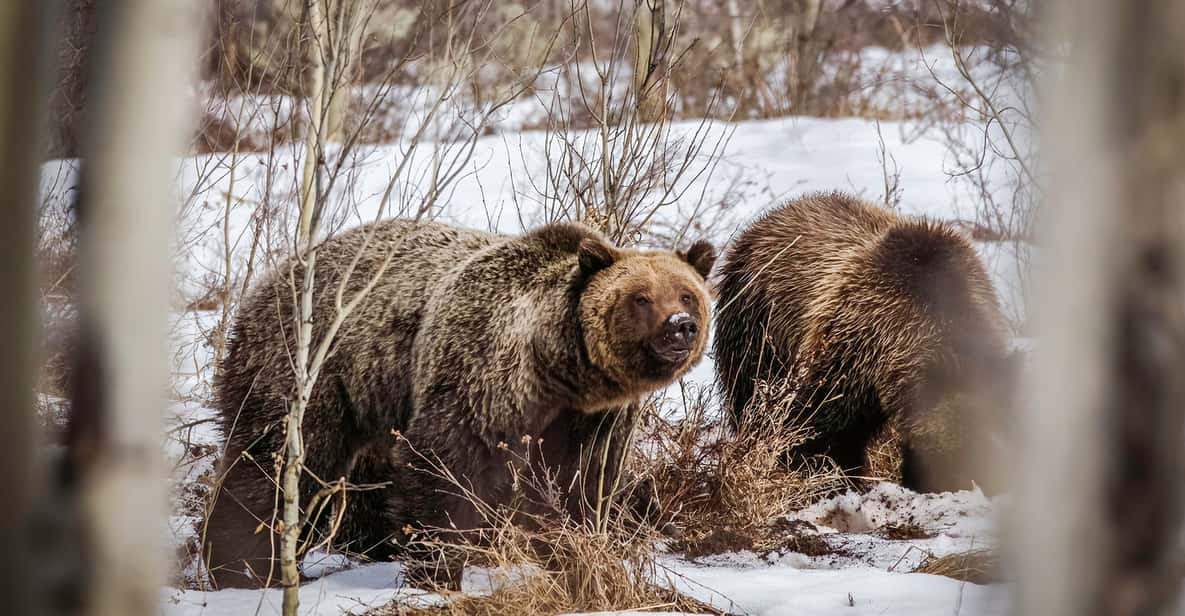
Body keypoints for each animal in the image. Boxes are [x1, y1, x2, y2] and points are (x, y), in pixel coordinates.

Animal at [202, 216, 710, 587]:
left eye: (687, 294)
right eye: (641, 298)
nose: (680, 325)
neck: (558, 367)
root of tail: (270, 276)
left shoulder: (590, 418)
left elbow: (581, 482)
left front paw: (576, 552)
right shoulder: (484, 370)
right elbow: (449, 465)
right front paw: (438, 569)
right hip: (307, 366)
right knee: (280, 461)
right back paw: (243, 565)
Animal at [706, 189, 1014, 492]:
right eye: (961, 450)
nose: (973, 484)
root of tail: (766, 218)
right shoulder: (853, 352)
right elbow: (822, 431)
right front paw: (830, 477)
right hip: (757, 326)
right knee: (751, 396)